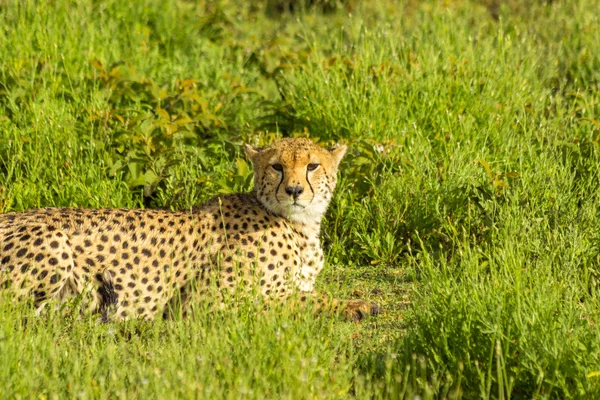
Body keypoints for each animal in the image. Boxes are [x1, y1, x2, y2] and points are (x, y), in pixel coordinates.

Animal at [1, 139, 380, 320]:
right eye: (276, 167)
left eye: (312, 166)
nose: (294, 190)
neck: (300, 226)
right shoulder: (202, 303)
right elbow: (286, 301)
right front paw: (355, 306)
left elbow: (300, 294)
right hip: (55, 243)